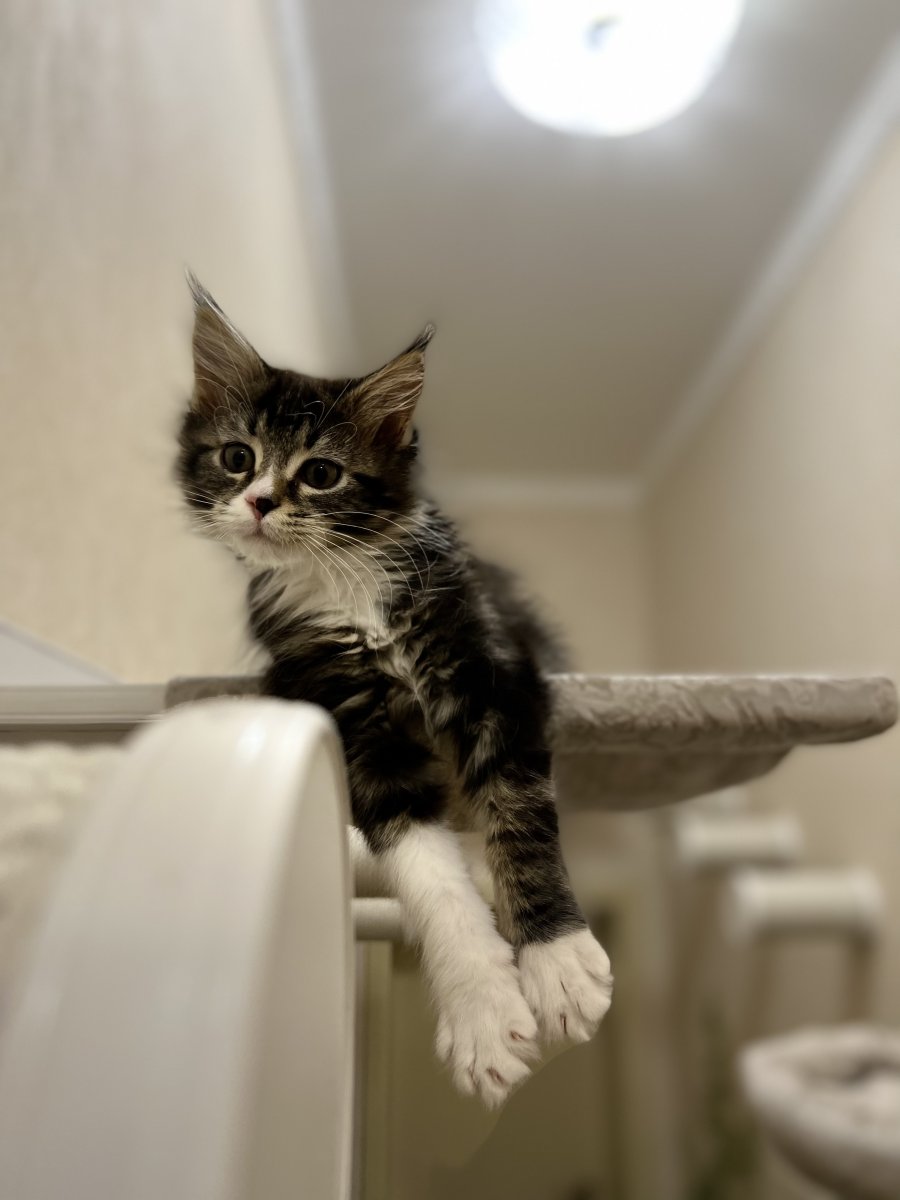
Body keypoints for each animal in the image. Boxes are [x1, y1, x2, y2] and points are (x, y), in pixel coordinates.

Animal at [176, 274, 613, 1107]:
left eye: (321, 473)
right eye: (237, 457)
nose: (259, 502)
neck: (346, 588)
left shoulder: (494, 671)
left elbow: (521, 817)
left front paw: (556, 960)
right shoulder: (345, 713)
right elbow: (428, 871)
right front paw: (483, 1013)